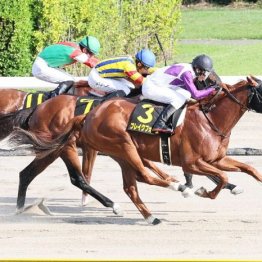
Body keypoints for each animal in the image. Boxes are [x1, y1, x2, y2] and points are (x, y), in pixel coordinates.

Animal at [13, 75, 262, 223]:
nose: (217, 83)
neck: (209, 119)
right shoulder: (192, 161)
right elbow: (219, 177)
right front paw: (198, 190)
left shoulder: (216, 159)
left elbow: (248, 169)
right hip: (105, 145)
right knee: (117, 177)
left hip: (109, 151)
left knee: (130, 185)